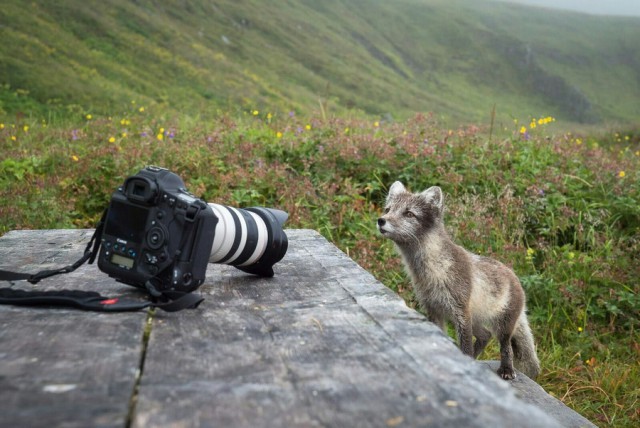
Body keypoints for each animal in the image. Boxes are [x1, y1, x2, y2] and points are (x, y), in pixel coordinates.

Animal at [378, 182, 544, 380]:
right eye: (388, 209)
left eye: (409, 213)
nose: (381, 220)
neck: (433, 271)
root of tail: (515, 277)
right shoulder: (433, 309)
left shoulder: (460, 311)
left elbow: (465, 345)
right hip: (476, 320)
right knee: (485, 335)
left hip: (502, 325)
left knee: (505, 347)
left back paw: (506, 369)